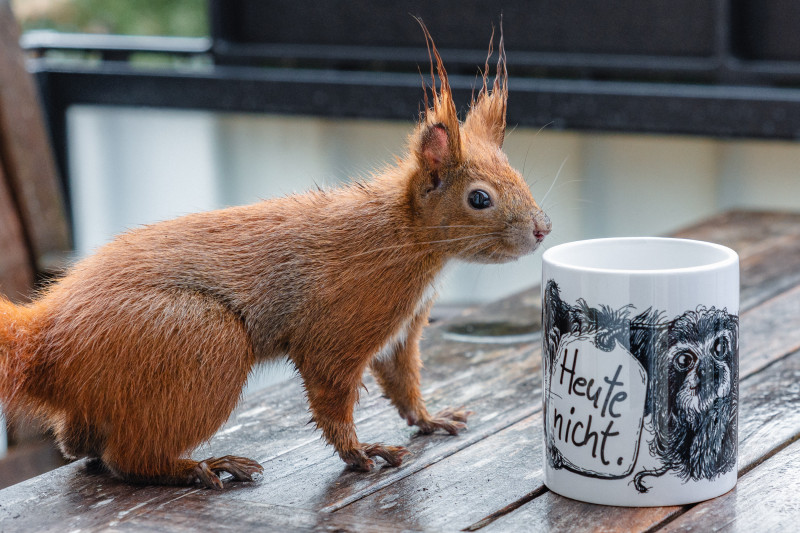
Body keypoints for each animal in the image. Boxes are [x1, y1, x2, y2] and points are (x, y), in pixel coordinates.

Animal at [0, 26, 552, 490]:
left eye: (516, 174)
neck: (403, 236)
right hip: (202, 340)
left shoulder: (402, 329)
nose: (543, 229)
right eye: (479, 198)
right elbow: (330, 389)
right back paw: (203, 466)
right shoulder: (344, 319)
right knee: (127, 458)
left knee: (82, 444)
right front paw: (360, 453)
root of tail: (46, 346)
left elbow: (402, 381)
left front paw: (430, 418)